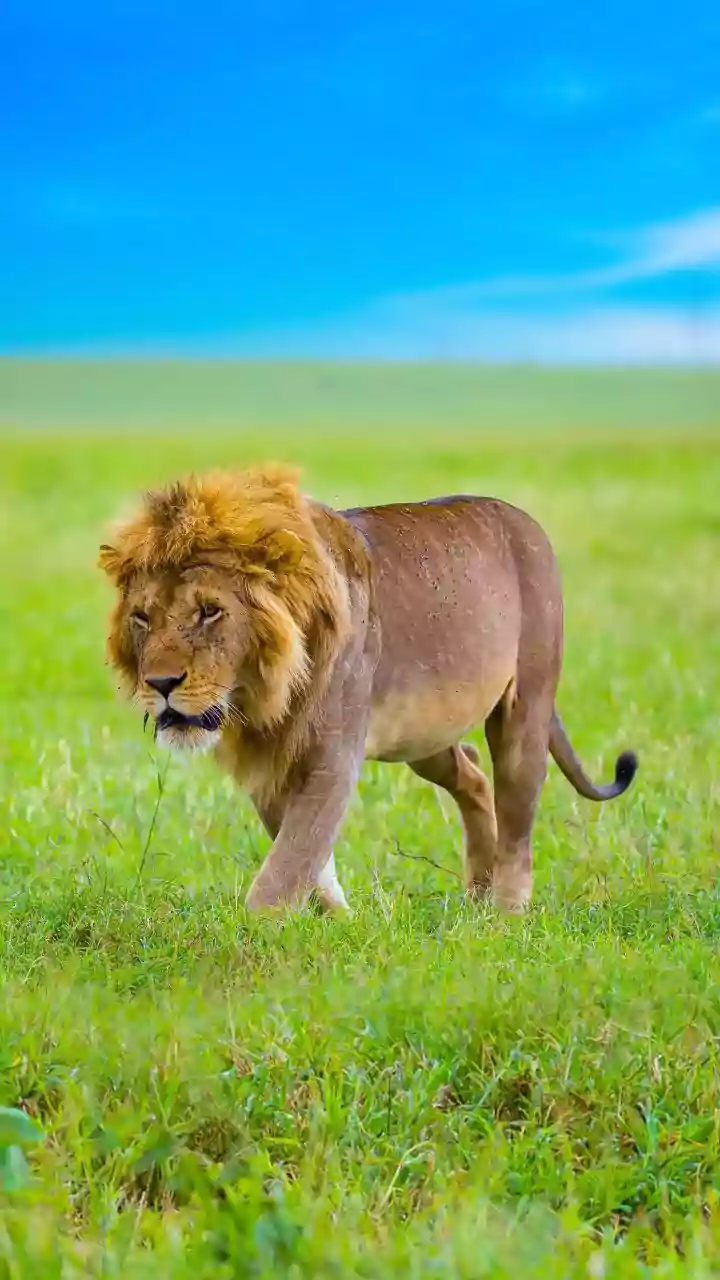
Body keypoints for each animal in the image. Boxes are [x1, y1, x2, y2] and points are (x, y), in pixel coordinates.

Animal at [99, 465, 637, 914]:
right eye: (142, 618)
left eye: (209, 611)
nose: (160, 684)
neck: (262, 693)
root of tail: (523, 519)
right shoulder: (271, 761)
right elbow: (303, 855)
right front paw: (340, 921)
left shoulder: (333, 757)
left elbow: (288, 863)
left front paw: (254, 934)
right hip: (422, 737)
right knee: (471, 773)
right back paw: (478, 894)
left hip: (524, 707)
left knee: (518, 815)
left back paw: (504, 914)